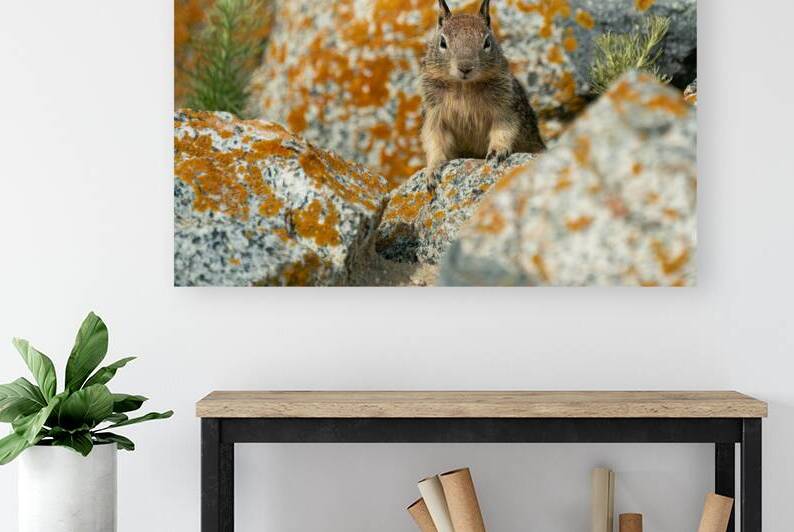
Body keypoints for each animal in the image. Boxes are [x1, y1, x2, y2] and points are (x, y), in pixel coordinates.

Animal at [420, 0, 546, 187]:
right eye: (442, 42)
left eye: (487, 42)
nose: (465, 68)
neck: (464, 87)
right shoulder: (434, 114)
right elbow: (434, 140)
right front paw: (432, 170)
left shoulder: (506, 107)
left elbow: (504, 128)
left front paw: (497, 151)